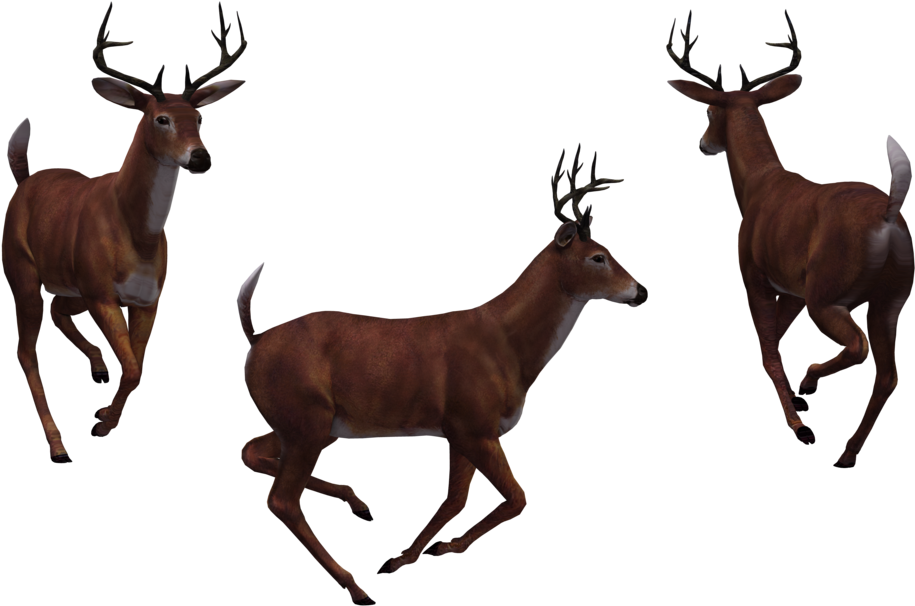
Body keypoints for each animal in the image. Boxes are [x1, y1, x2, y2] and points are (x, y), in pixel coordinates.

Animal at [2, 2, 247, 464]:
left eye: (200, 117)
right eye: (161, 118)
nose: (201, 158)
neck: (138, 237)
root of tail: (25, 181)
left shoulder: (148, 298)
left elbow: (138, 368)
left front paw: (102, 417)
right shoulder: (102, 293)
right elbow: (132, 367)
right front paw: (98, 425)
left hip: (70, 284)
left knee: (59, 312)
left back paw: (97, 369)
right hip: (21, 270)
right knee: (25, 352)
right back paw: (58, 446)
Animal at [236, 143, 647, 605]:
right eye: (598, 256)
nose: (642, 291)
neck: (505, 346)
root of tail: (256, 340)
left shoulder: (459, 430)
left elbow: (455, 499)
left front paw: (409, 557)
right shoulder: (473, 424)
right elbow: (516, 498)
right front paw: (426, 552)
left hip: (311, 425)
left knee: (253, 453)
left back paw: (361, 506)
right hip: (306, 418)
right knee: (282, 500)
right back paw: (356, 587)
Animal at [666, 8, 914, 468]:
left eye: (708, 111)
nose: (703, 144)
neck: (757, 186)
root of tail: (887, 217)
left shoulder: (756, 277)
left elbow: (769, 352)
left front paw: (800, 427)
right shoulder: (792, 292)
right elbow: (775, 341)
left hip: (827, 293)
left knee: (858, 347)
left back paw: (810, 387)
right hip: (892, 297)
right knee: (888, 375)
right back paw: (847, 453)